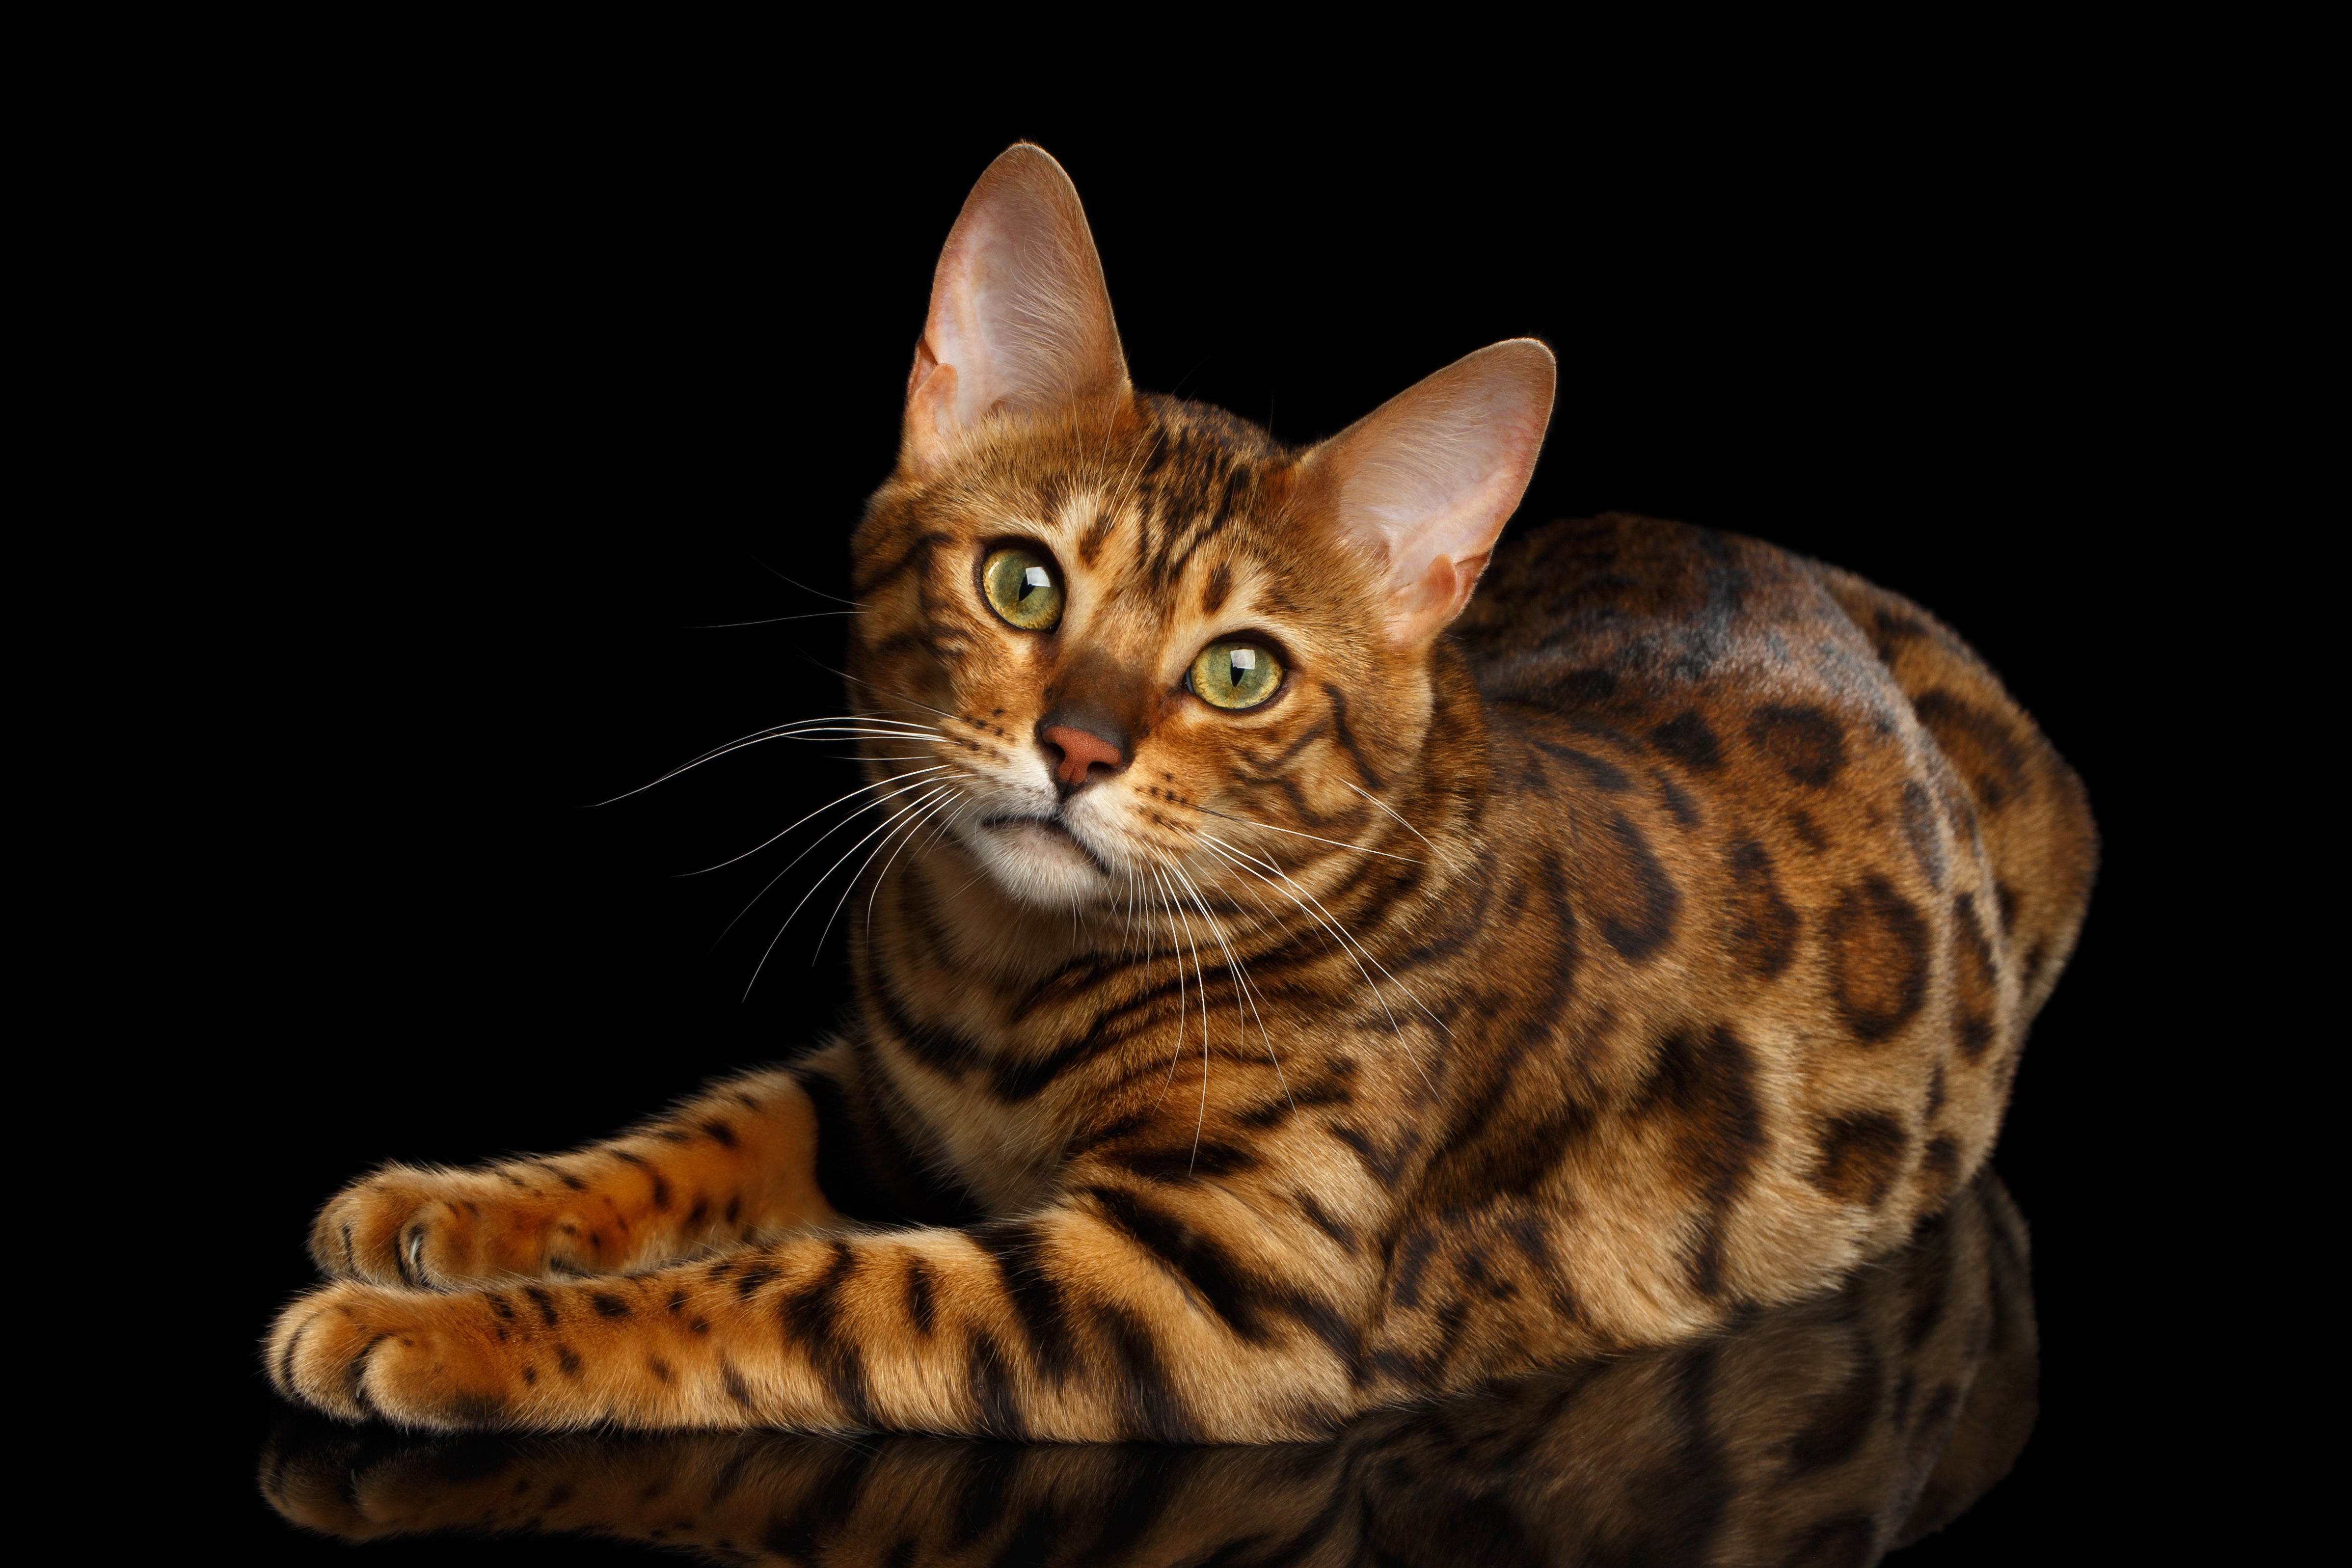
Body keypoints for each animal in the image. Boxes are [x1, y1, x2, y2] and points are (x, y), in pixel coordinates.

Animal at [257, 147, 2098, 1448]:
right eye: (1020, 581)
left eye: (1239, 671)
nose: (1075, 748)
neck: (1004, 974)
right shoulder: (885, 1095)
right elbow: (683, 1142)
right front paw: (448, 1212)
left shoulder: (1208, 1287)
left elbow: (782, 1287)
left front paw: (438, 1331)